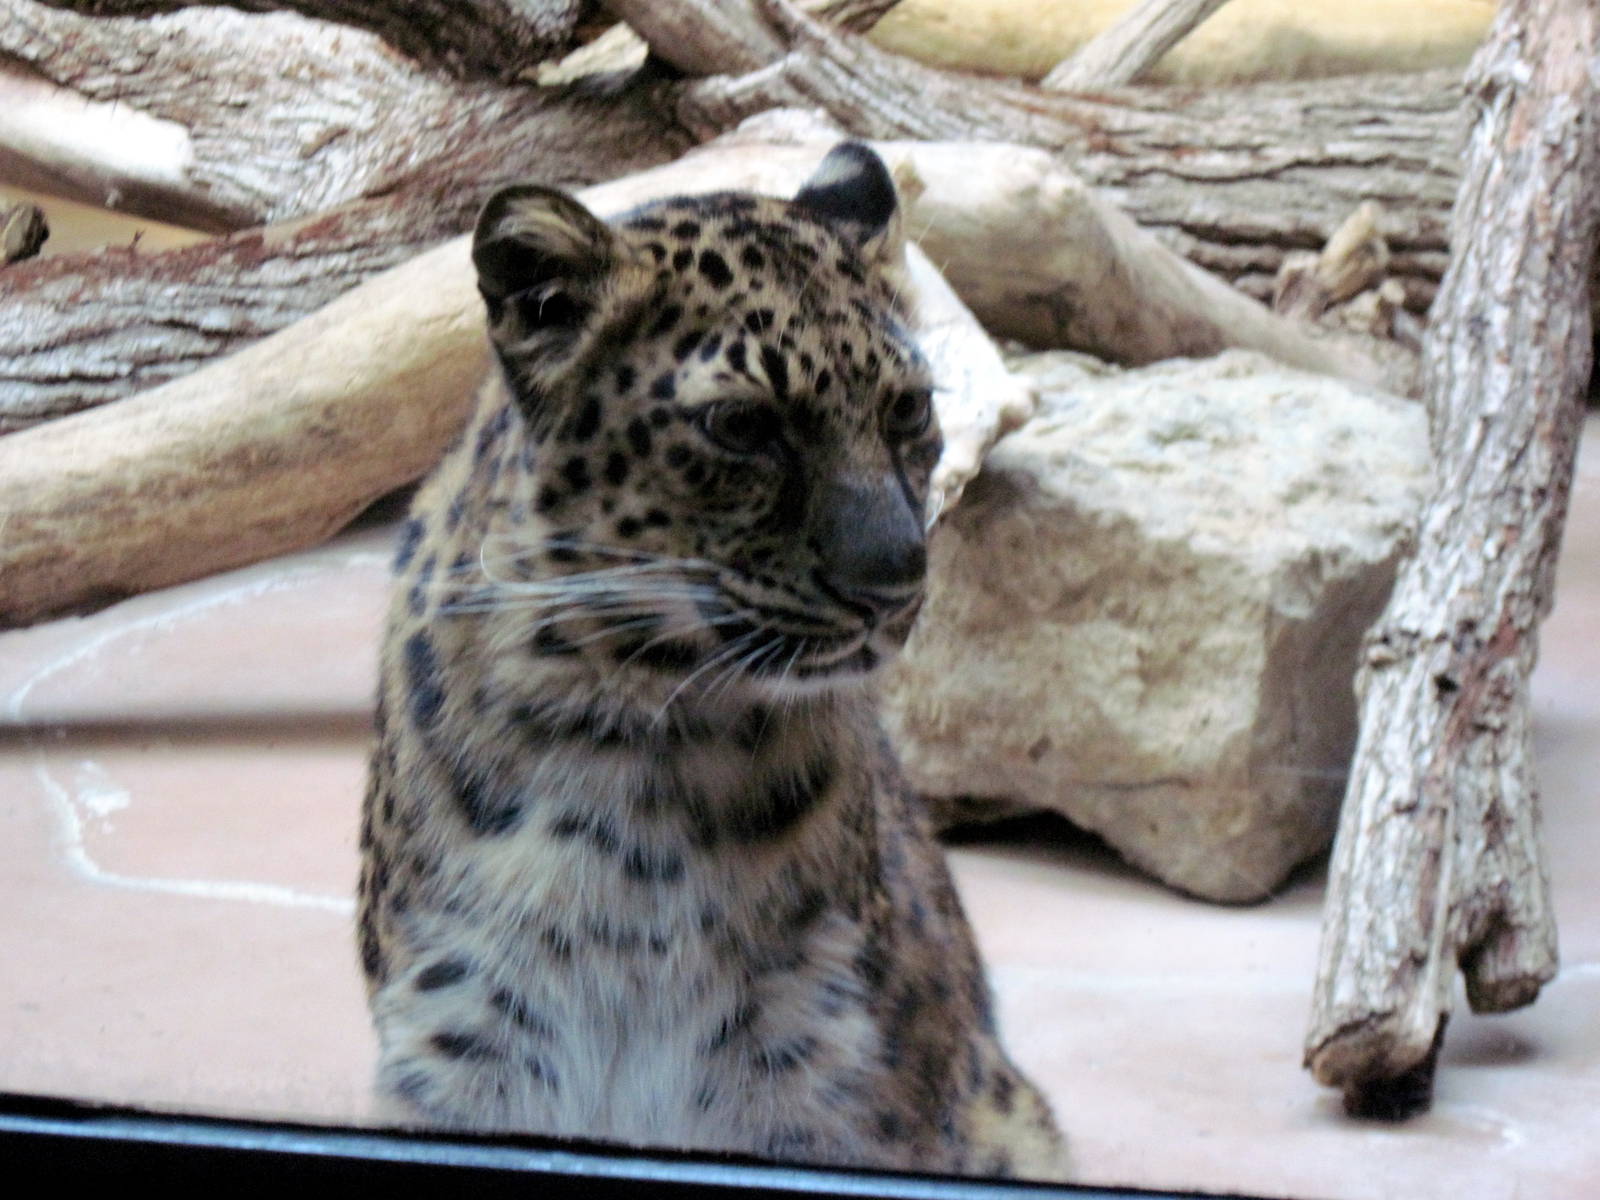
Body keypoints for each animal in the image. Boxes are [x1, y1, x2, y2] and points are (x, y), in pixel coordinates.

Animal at [356, 142, 1065, 1180]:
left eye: (907, 410)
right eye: (742, 427)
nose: (897, 578)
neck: (637, 746)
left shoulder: (809, 1067)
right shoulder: (463, 1036)